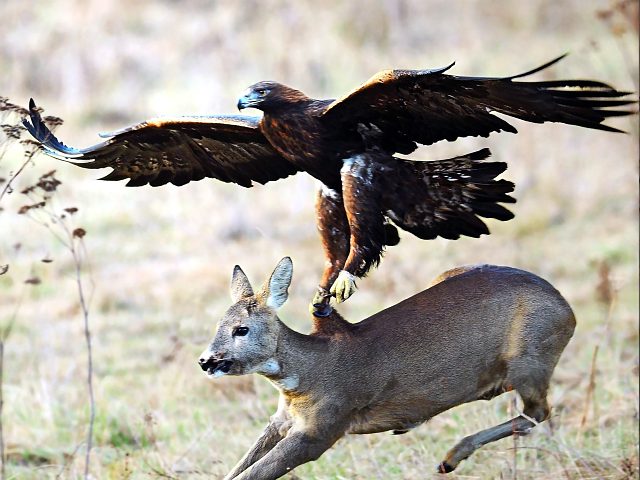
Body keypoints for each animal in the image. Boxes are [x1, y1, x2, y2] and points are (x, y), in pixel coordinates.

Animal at [199, 256, 576, 478]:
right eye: (218, 324)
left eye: (241, 329)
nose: (206, 360)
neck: (308, 373)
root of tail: (568, 310)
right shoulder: (282, 419)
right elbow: (237, 468)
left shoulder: (325, 426)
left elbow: (253, 474)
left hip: (529, 359)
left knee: (537, 412)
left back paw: (450, 457)